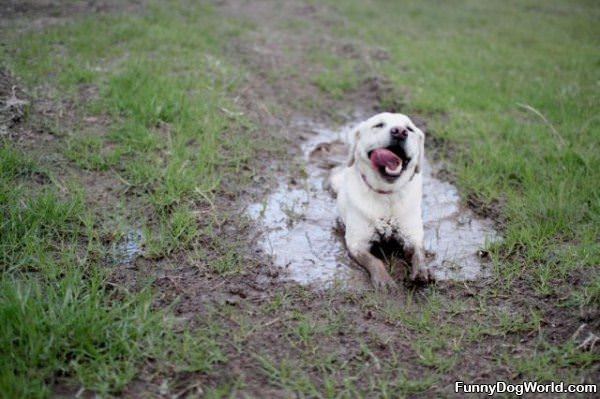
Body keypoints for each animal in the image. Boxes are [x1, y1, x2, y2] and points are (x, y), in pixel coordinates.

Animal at [330, 112, 434, 290]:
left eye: (409, 129)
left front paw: (421, 271)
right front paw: (384, 279)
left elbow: (419, 253)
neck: (387, 196)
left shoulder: (412, 235)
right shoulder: (356, 243)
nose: (400, 132)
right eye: (379, 125)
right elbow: (374, 260)